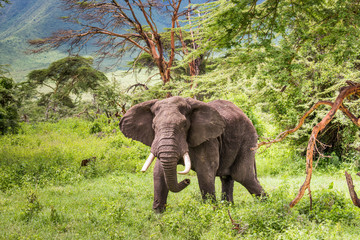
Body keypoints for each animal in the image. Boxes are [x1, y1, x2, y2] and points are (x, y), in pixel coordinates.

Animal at [119, 95, 266, 212]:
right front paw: (158, 215)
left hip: (248, 139)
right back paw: (228, 207)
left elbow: (205, 174)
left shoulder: (208, 140)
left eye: (184, 125)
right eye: (154, 126)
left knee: (243, 175)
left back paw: (266, 205)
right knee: (228, 177)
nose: (187, 180)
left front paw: (210, 212)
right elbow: (159, 173)